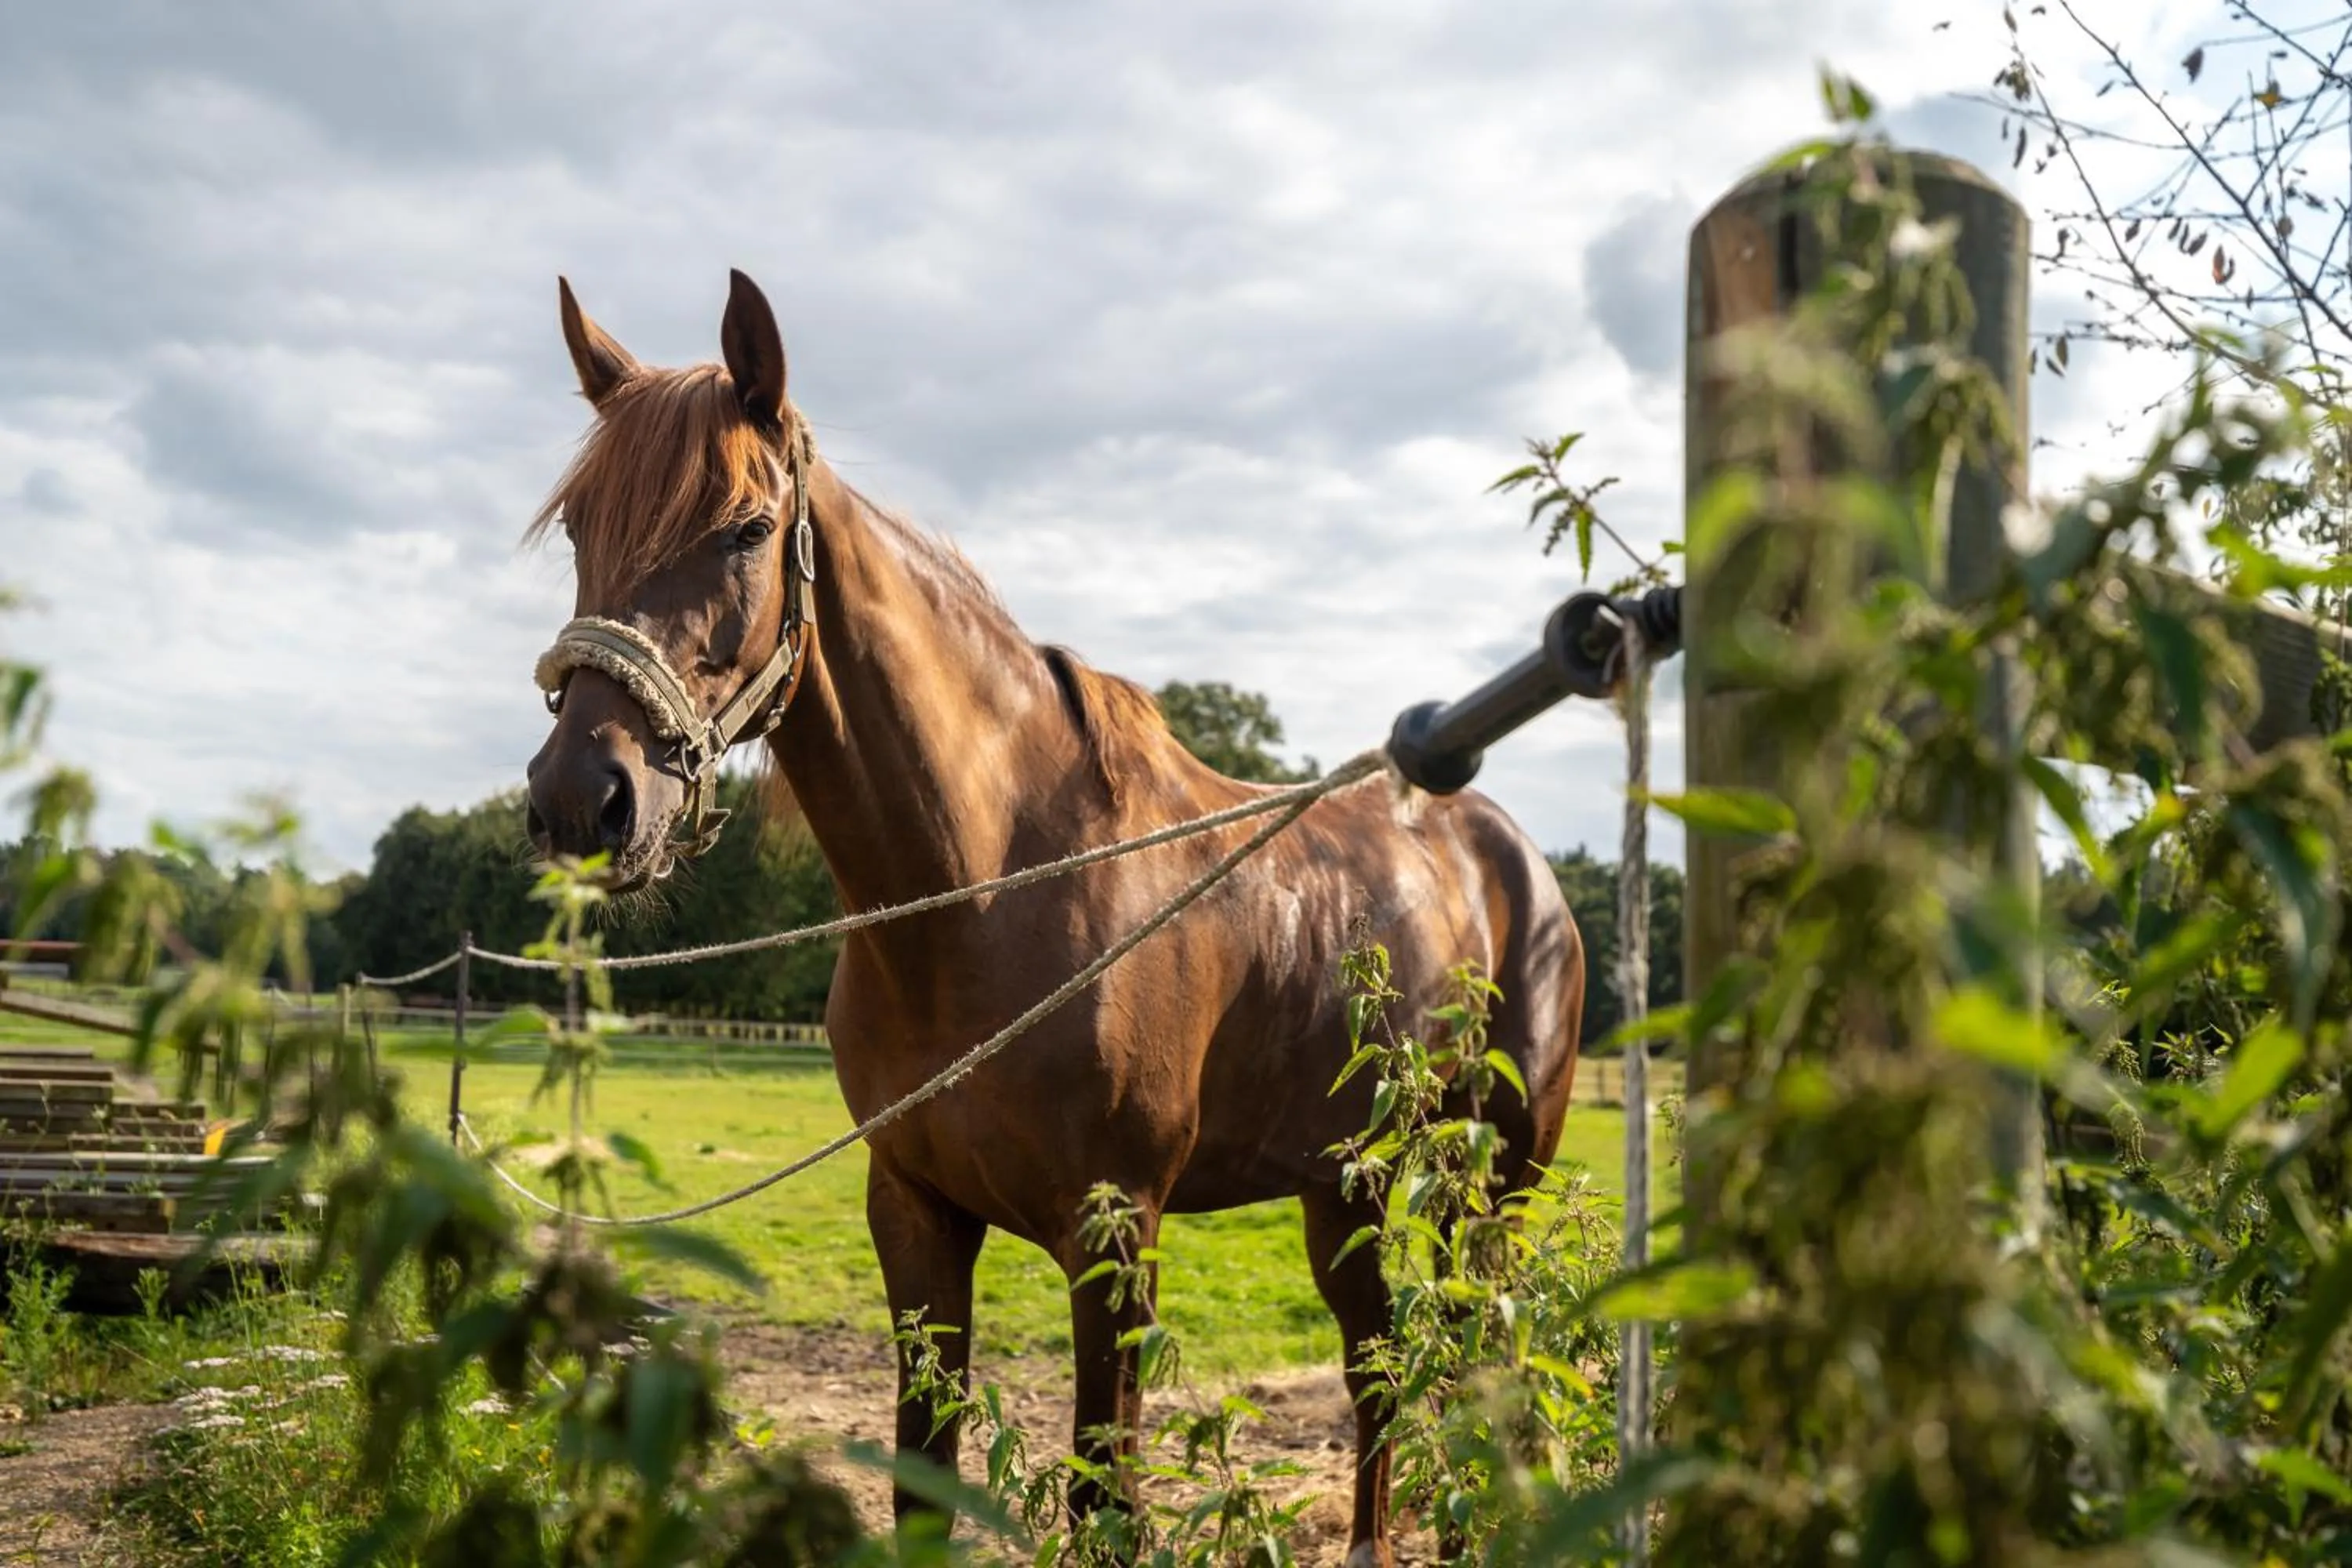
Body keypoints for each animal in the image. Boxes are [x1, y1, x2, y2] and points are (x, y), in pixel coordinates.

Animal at [520, 269, 1585, 1568]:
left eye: (745, 529)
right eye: (581, 531)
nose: (583, 800)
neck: (988, 898)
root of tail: (1516, 857)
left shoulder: (1115, 1230)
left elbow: (1104, 1494)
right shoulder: (913, 1215)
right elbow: (923, 1480)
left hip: (1505, 1171)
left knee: (1476, 1343)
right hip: (1350, 1184)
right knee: (1383, 1359)